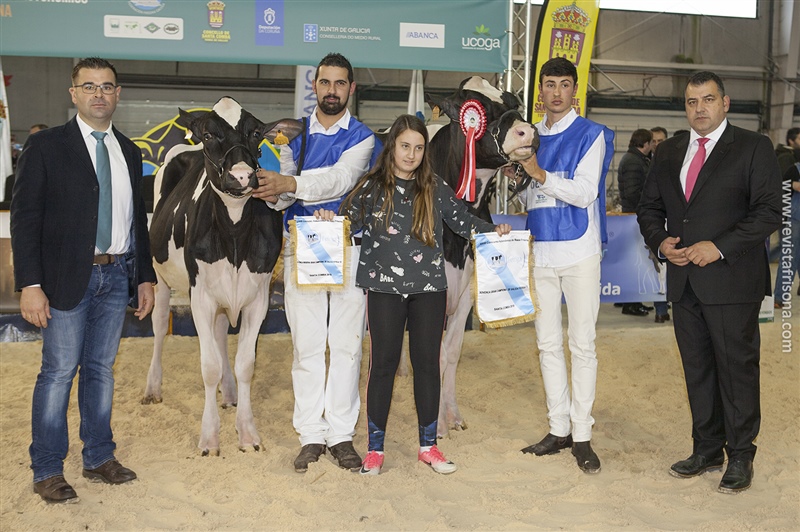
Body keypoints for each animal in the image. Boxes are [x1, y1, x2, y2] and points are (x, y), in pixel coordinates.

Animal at [141, 97, 300, 456]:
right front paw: (209, 438)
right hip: (159, 276)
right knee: (158, 326)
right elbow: (208, 366)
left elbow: (245, 364)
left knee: (218, 333)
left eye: (256, 133)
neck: (235, 234)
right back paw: (153, 387)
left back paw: (228, 393)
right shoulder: (200, 297)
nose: (241, 175)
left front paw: (247, 432)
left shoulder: (257, 298)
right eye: (209, 134)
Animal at [424, 77, 536, 438]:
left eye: (513, 102)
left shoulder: (465, 293)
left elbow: (451, 353)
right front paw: (435, 425)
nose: (529, 132)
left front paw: (451, 416)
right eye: (474, 108)